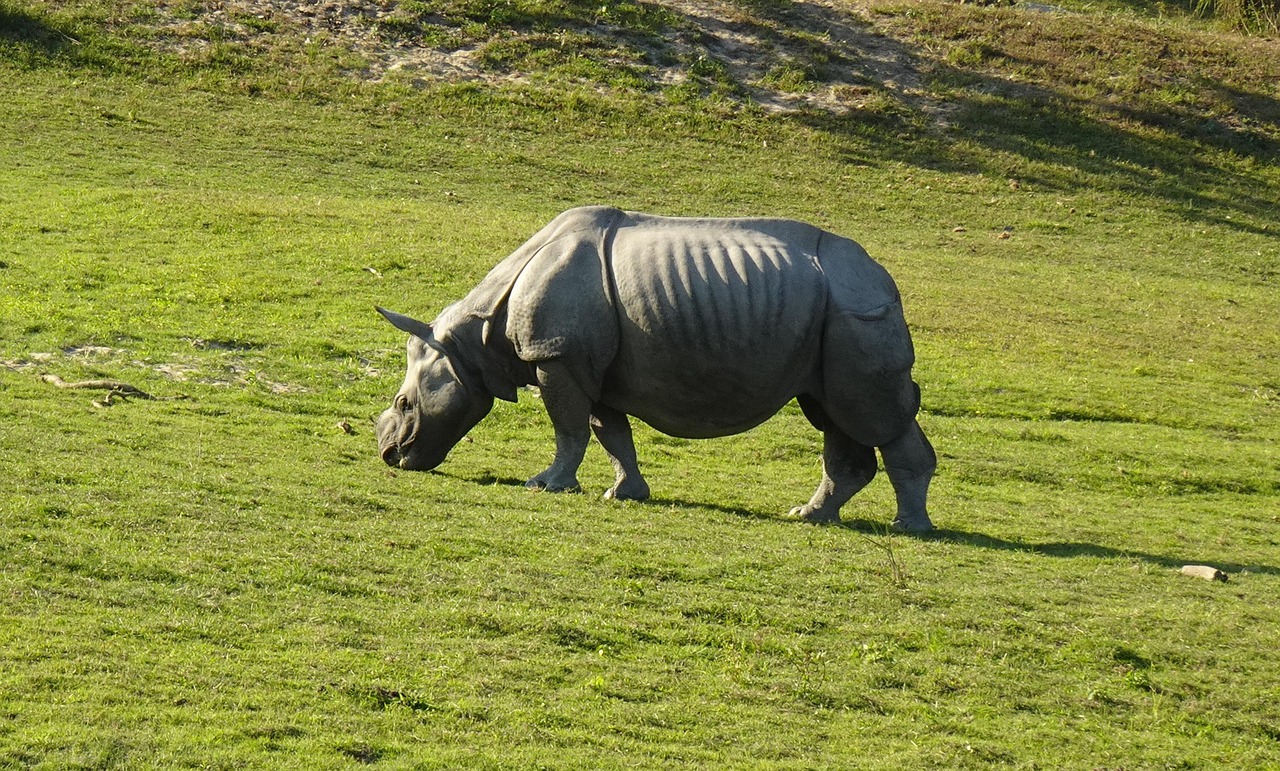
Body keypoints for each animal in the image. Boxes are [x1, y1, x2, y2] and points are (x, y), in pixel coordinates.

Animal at [376, 206, 936, 530]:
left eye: (405, 404)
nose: (389, 457)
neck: (472, 341)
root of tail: (884, 277)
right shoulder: (588, 367)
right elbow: (609, 432)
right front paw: (623, 494)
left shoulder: (557, 355)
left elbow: (569, 428)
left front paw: (547, 485)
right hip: (834, 319)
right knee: (834, 414)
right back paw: (810, 517)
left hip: (855, 312)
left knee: (871, 416)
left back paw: (907, 528)